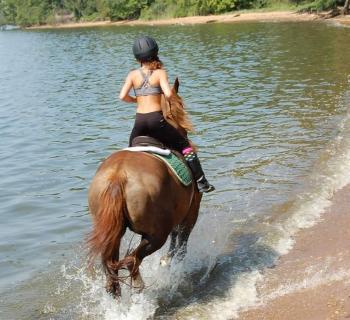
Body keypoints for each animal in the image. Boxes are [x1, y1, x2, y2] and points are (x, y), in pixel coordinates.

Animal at [88, 79, 202, 296]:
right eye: (181, 105)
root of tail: (118, 176)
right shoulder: (190, 213)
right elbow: (181, 246)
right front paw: (170, 264)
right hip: (156, 235)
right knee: (132, 260)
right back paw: (140, 286)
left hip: (114, 233)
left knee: (113, 273)